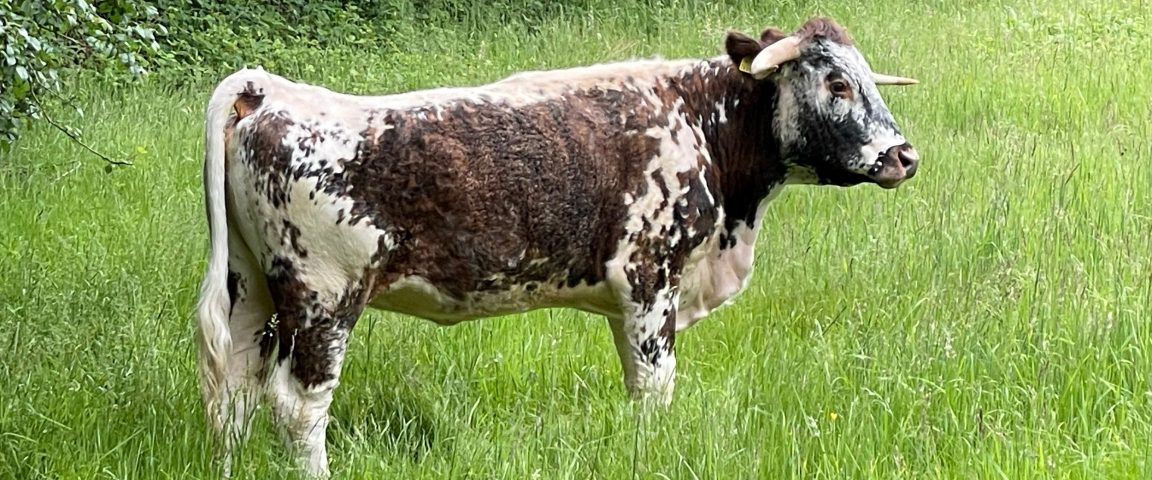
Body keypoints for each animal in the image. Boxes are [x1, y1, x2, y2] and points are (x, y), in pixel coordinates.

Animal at [195, 16, 921, 477]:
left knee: (233, 389)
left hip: (252, 291)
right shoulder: (649, 283)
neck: (703, 127)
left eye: (868, 78)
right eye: (836, 83)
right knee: (297, 406)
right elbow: (654, 389)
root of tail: (272, 89)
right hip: (324, 298)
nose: (904, 157)